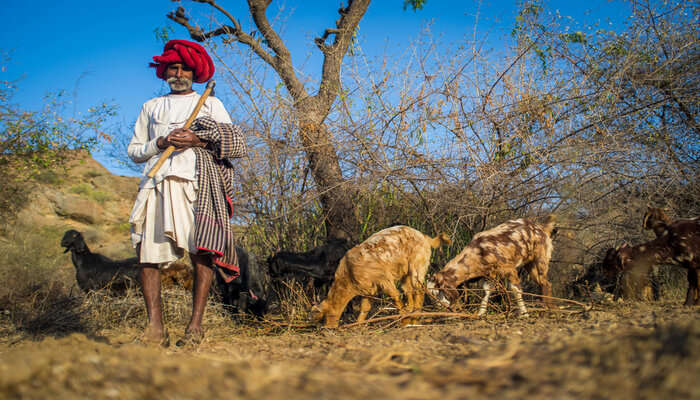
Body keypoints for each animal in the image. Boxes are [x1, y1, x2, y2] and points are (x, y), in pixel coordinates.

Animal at [310, 227, 452, 326]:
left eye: (326, 315)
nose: (327, 328)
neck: (349, 273)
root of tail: (424, 237)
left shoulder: (384, 280)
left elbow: (396, 297)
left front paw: (404, 321)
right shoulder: (367, 290)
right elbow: (365, 308)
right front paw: (358, 324)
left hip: (417, 268)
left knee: (419, 290)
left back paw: (415, 317)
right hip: (405, 275)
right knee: (409, 291)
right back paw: (411, 312)